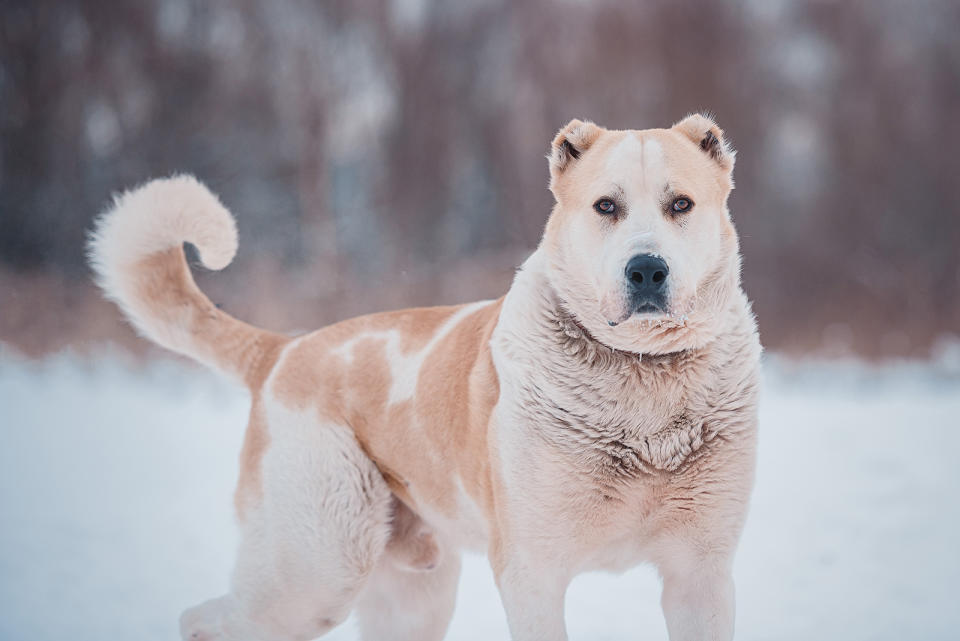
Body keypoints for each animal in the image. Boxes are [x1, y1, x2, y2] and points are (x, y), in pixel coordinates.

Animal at [92, 112, 764, 636]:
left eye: (680, 205)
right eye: (607, 206)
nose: (646, 269)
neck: (643, 384)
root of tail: (284, 351)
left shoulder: (701, 575)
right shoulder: (532, 572)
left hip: (411, 592)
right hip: (316, 568)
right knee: (202, 621)